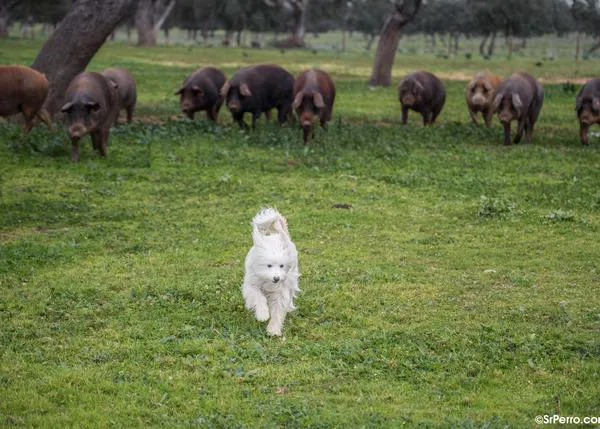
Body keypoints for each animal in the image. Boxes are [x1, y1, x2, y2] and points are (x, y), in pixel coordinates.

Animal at [241, 206, 300, 334]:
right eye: (268, 265)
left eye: (282, 266)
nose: (276, 278)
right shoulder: (252, 285)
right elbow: (259, 297)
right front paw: (262, 314)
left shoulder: (281, 291)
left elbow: (278, 310)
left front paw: (273, 329)